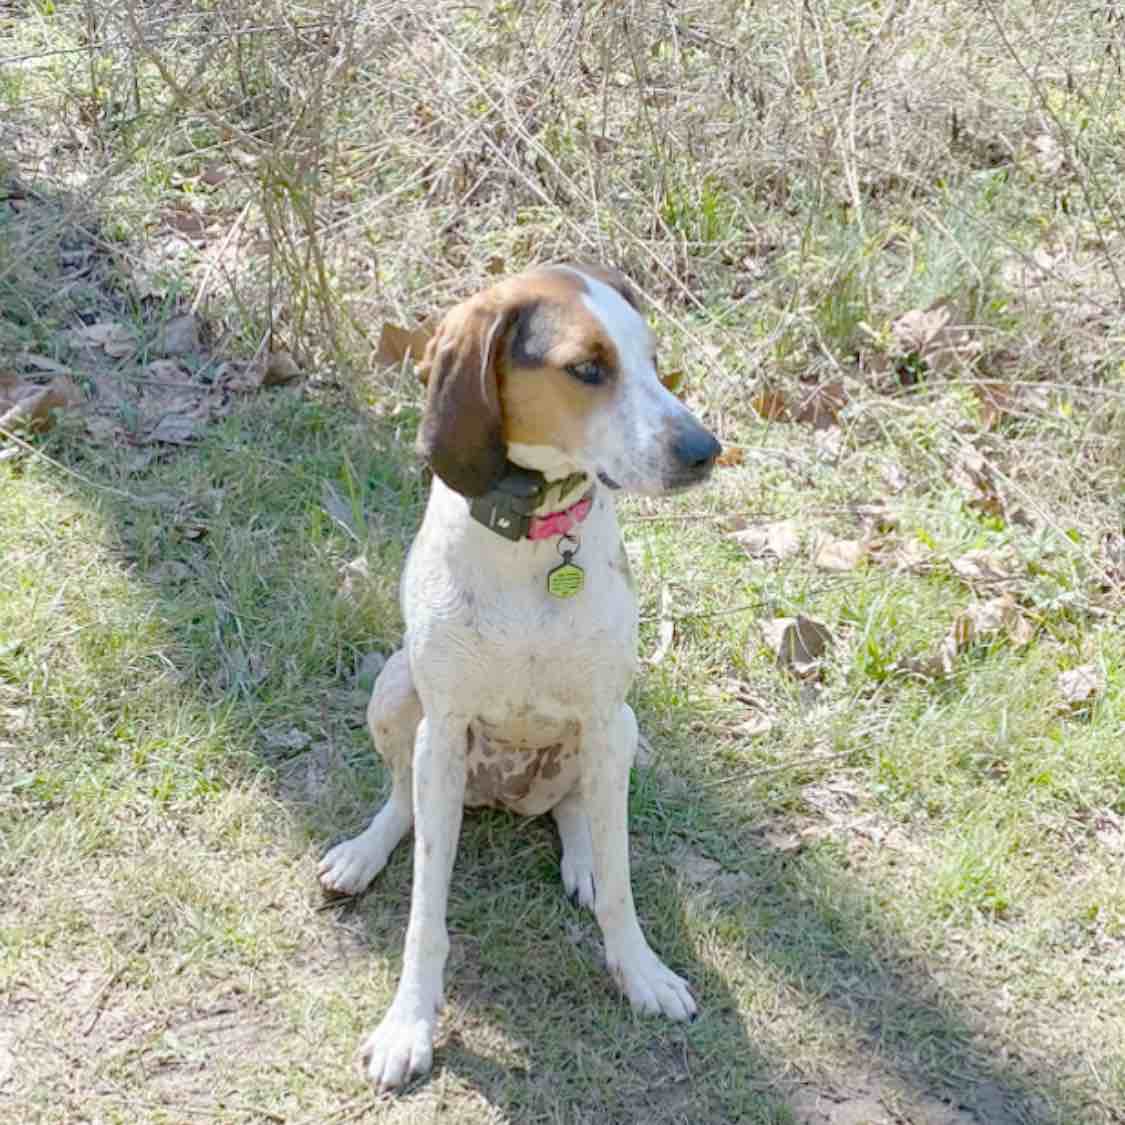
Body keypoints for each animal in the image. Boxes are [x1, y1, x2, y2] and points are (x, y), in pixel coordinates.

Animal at [319, 263, 721, 1090]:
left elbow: (624, 887)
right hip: (397, 691)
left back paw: (583, 860)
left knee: (575, 811)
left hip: (620, 730)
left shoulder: (602, 717)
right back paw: (364, 851)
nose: (706, 448)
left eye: (650, 358)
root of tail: (502, 795)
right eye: (587, 368)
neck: (536, 534)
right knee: (403, 801)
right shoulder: (443, 729)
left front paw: (639, 971)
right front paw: (409, 1022)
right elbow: (425, 915)